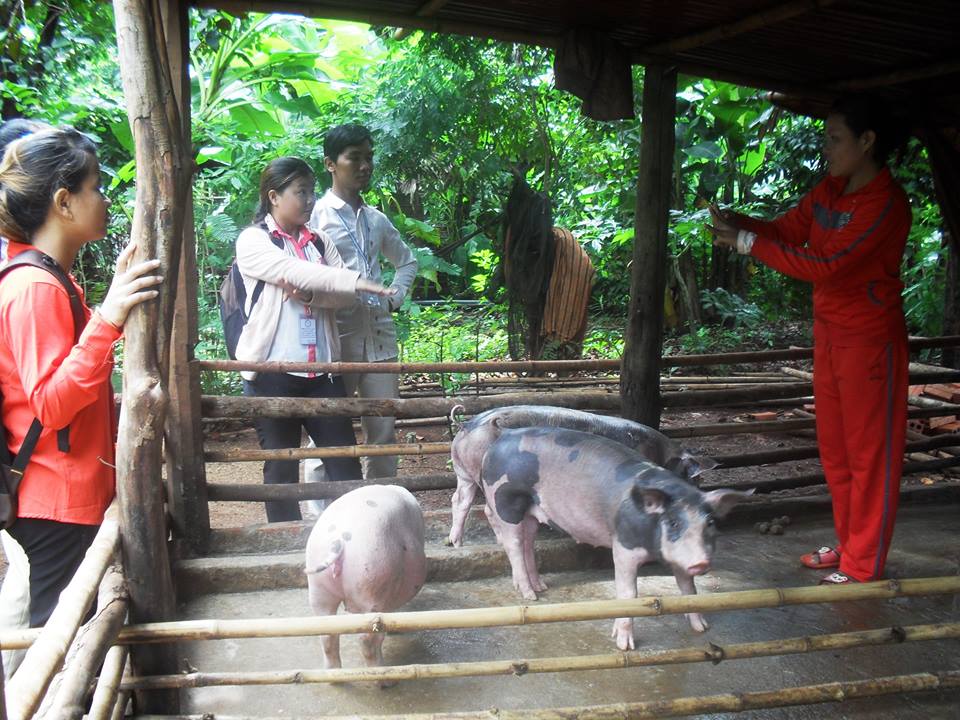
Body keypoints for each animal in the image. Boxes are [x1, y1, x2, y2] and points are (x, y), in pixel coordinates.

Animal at [306, 480, 426, 676]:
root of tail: (339, 539)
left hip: (318, 587)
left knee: (327, 634)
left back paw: (334, 675)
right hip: (372, 580)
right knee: (366, 639)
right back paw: (384, 676)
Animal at [448, 404, 712, 544]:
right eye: (693, 478)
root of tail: (467, 424)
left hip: (464, 473)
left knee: (460, 500)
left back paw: (454, 542)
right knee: (486, 509)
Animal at [480, 424, 752, 648]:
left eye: (710, 523)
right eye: (673, 522)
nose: (701, 562)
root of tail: (503, 435)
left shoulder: (679, 558)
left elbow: (689, 588)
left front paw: (701, 628)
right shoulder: (623, 546)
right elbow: (628, 594)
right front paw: (624, 646)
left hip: (533, 512)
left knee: (528, 541)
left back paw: (541, 586)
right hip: (506, 501)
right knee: (513, 542)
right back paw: (530, 595)